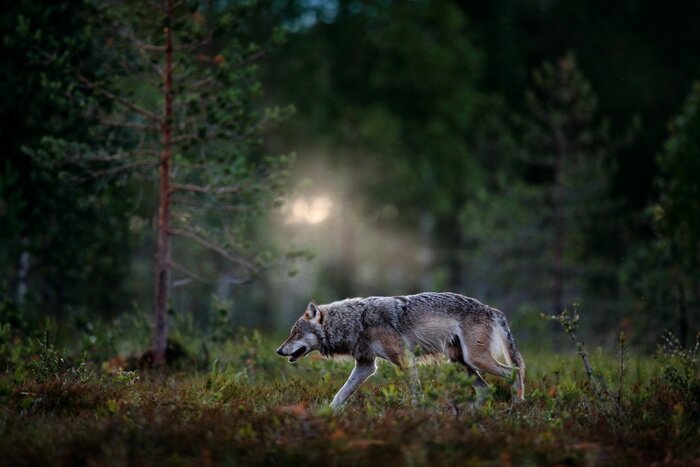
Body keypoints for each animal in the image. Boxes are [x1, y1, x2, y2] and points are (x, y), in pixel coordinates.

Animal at [276, 292, 525, 409]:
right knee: (485, 390)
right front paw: (325, 415)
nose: (278, 351)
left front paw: (420, 413)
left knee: (514, 371)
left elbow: (416, 393)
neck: (357, 321)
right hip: (460, 363)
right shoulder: (366, 365)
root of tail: (491, 309)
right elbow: (340, 395)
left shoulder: (404, 359)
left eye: (295, 333)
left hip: (475, 360)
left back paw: (517, 405)